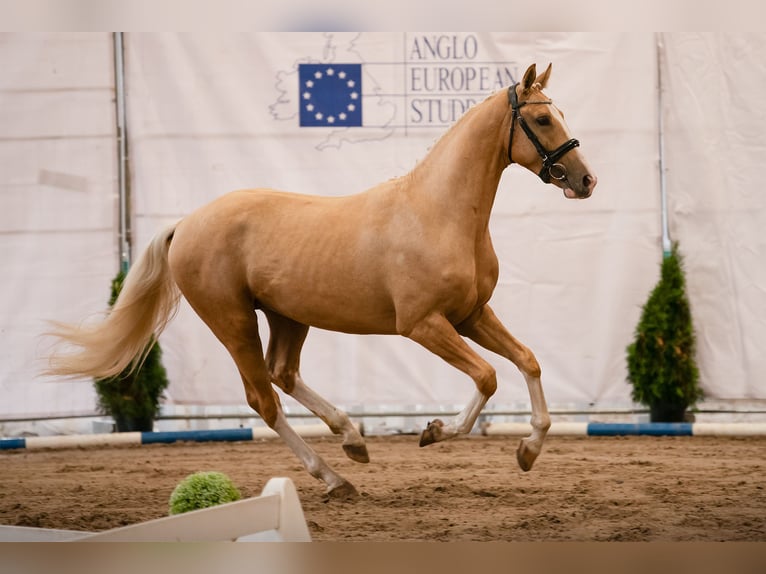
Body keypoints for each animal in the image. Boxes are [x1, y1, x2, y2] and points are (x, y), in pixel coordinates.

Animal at [48, 63, 600, 500]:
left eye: (560, 113)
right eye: (543, 118)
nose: (585, 180)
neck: (438, 212)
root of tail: (186, 224)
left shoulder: (470, 315)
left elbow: (528, 360)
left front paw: (528, 450)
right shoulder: (423, 325)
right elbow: (487, 377)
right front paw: (433, 431)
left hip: (288, 316)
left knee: (283, 372)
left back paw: (352, 440)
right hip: (233, 322)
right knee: (263, 399)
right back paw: (335, 477)